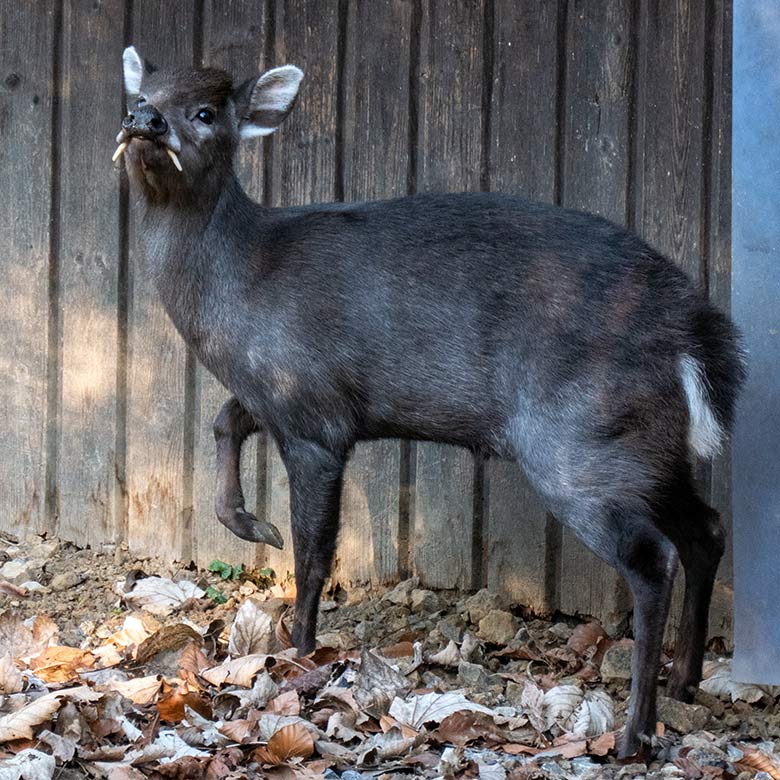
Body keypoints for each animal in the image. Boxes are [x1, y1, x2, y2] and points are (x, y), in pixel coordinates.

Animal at [116, 48, 744, 756]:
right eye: (141, 93)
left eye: (204, 111)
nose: (144, 120)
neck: (239, 285)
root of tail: (692, 334)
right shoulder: (280, 393)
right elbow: (224, 420)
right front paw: (250, 523)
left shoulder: (315, 413)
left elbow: (314, 551)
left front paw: (301, 652)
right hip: (648, 448)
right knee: (705, 529)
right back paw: (685, 681)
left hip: (578, 441)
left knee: (654, 559)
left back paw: (635, 731)